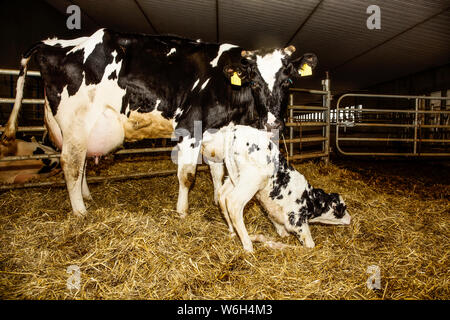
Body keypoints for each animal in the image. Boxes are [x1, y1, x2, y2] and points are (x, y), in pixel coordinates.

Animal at [0, 28, 316, 216]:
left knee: (81, 166)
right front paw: (182, 211)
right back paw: (80, 211)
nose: (273, 122)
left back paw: (86, 198)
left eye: (287, 81)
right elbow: (188, 175)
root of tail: (55, 42)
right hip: (76, 122)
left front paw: (217, 200)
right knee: (70, 165)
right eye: (254, 81)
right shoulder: (191, 126)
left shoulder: (218, 133)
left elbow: (218, 172)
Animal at [201, 125, 352, 252]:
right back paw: (248, 245)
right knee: (233, 203)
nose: (350, 219)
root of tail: (233, 130)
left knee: (222, 195)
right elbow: (309, 244)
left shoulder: (273, 210)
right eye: (342, 209)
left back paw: (233, 231)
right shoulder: (297, 220)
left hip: (237, 177)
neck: (309, 198)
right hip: (252, 179)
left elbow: (278, 227)